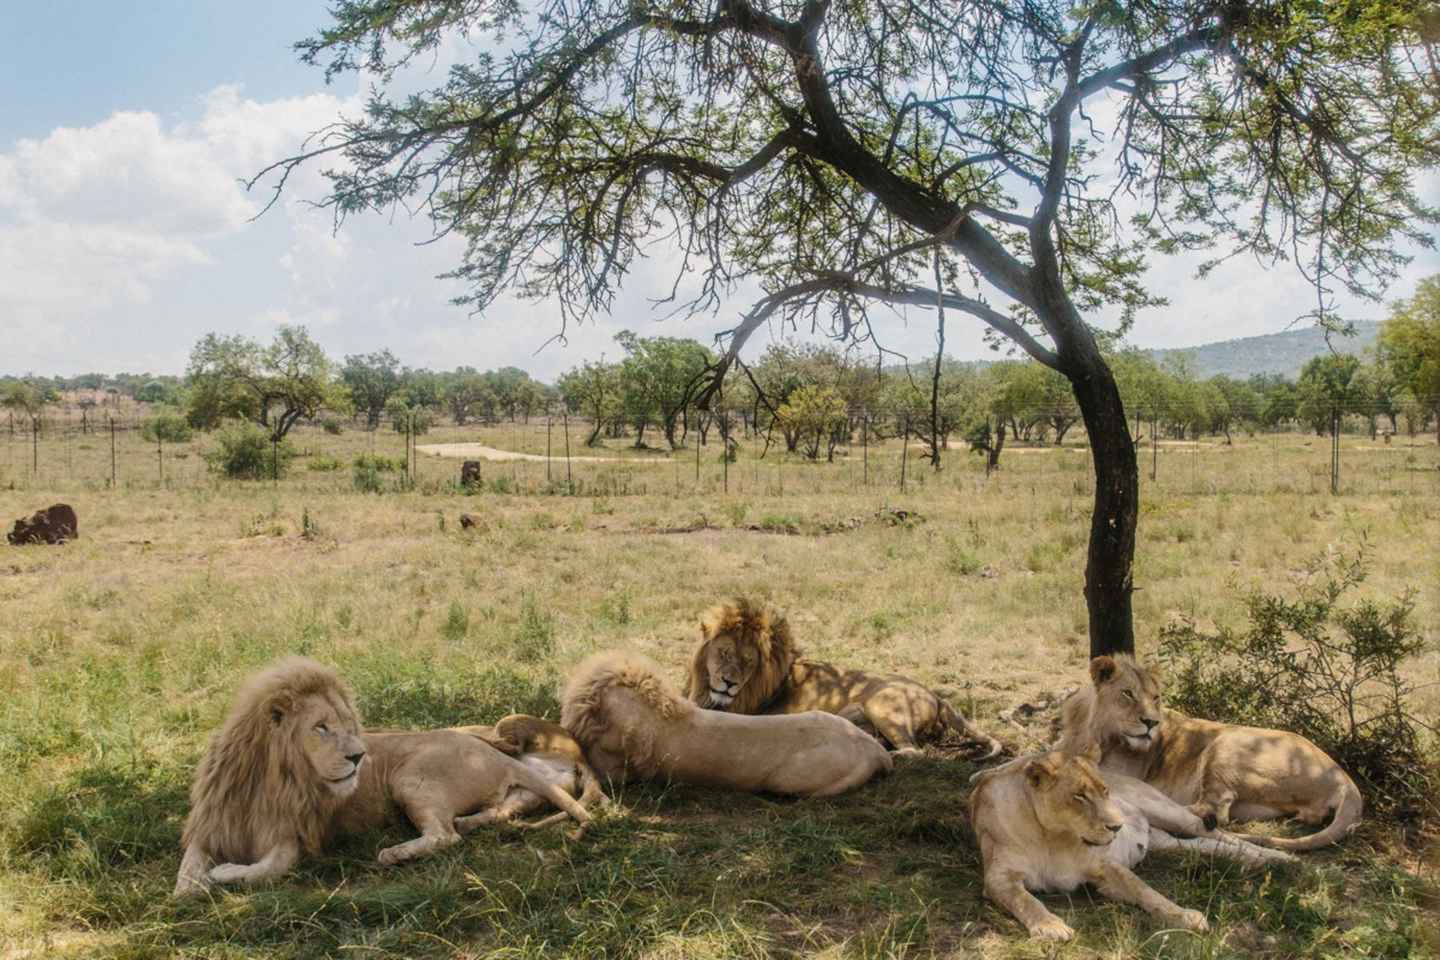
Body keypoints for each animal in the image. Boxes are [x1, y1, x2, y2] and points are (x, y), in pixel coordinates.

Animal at [174, 657, 594, 896]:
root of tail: (489, 752)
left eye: (348, 725)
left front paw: (222, 873)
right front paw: (191, 885)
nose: (359, 756)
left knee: (445, 836)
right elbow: (186, 874)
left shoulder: (291, 838)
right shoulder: (213, 825)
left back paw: (393, 853)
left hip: (411, 777)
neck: (266, 779)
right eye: (321, 727)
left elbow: (265, 870)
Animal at [685, 598, 1002, 757]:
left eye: (748, 661)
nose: (729, 682)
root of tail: (935, 694)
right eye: (724, 653)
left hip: (883, 705)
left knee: (915, 751)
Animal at [970, 747, 1292, 942]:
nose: (1117, 826)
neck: (1053, 837)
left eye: (1105, 791)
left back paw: (1278, 858)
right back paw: (1259, 861)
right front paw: (1051, 926)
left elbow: (1145, 891)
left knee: (1219, 834)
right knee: (1205, 845)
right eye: (1080, 796)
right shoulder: (999, 877)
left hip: (1167, 811)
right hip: (1165, 843)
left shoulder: (1105, 866)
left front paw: (1185, 917)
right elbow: (1025, 900)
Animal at [1057, 654, 1363, 851]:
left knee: (1213, 811)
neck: (1093, 731)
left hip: (1227, 742)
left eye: (1155, 698)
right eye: (1128, 694)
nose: (1151, 722)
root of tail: (1344, 778)